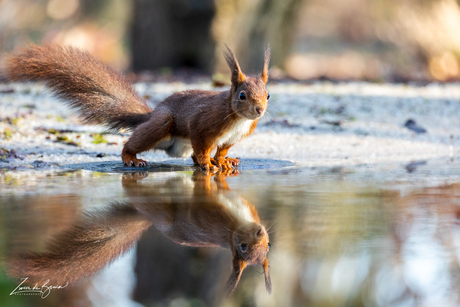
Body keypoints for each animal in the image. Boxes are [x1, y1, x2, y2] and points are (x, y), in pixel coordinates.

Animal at [5, 44, 270, 172]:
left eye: (267, 94)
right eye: (242, 96)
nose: (259, 110)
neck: (238, 119)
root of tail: (152, 114)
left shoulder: (233, 137)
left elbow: (222, 150)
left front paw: (224, 161)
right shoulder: (203, 124)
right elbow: (203, 146)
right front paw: (209, 163)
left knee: (191, 155)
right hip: (162, 123)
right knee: (135, 143)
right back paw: (131, 158)